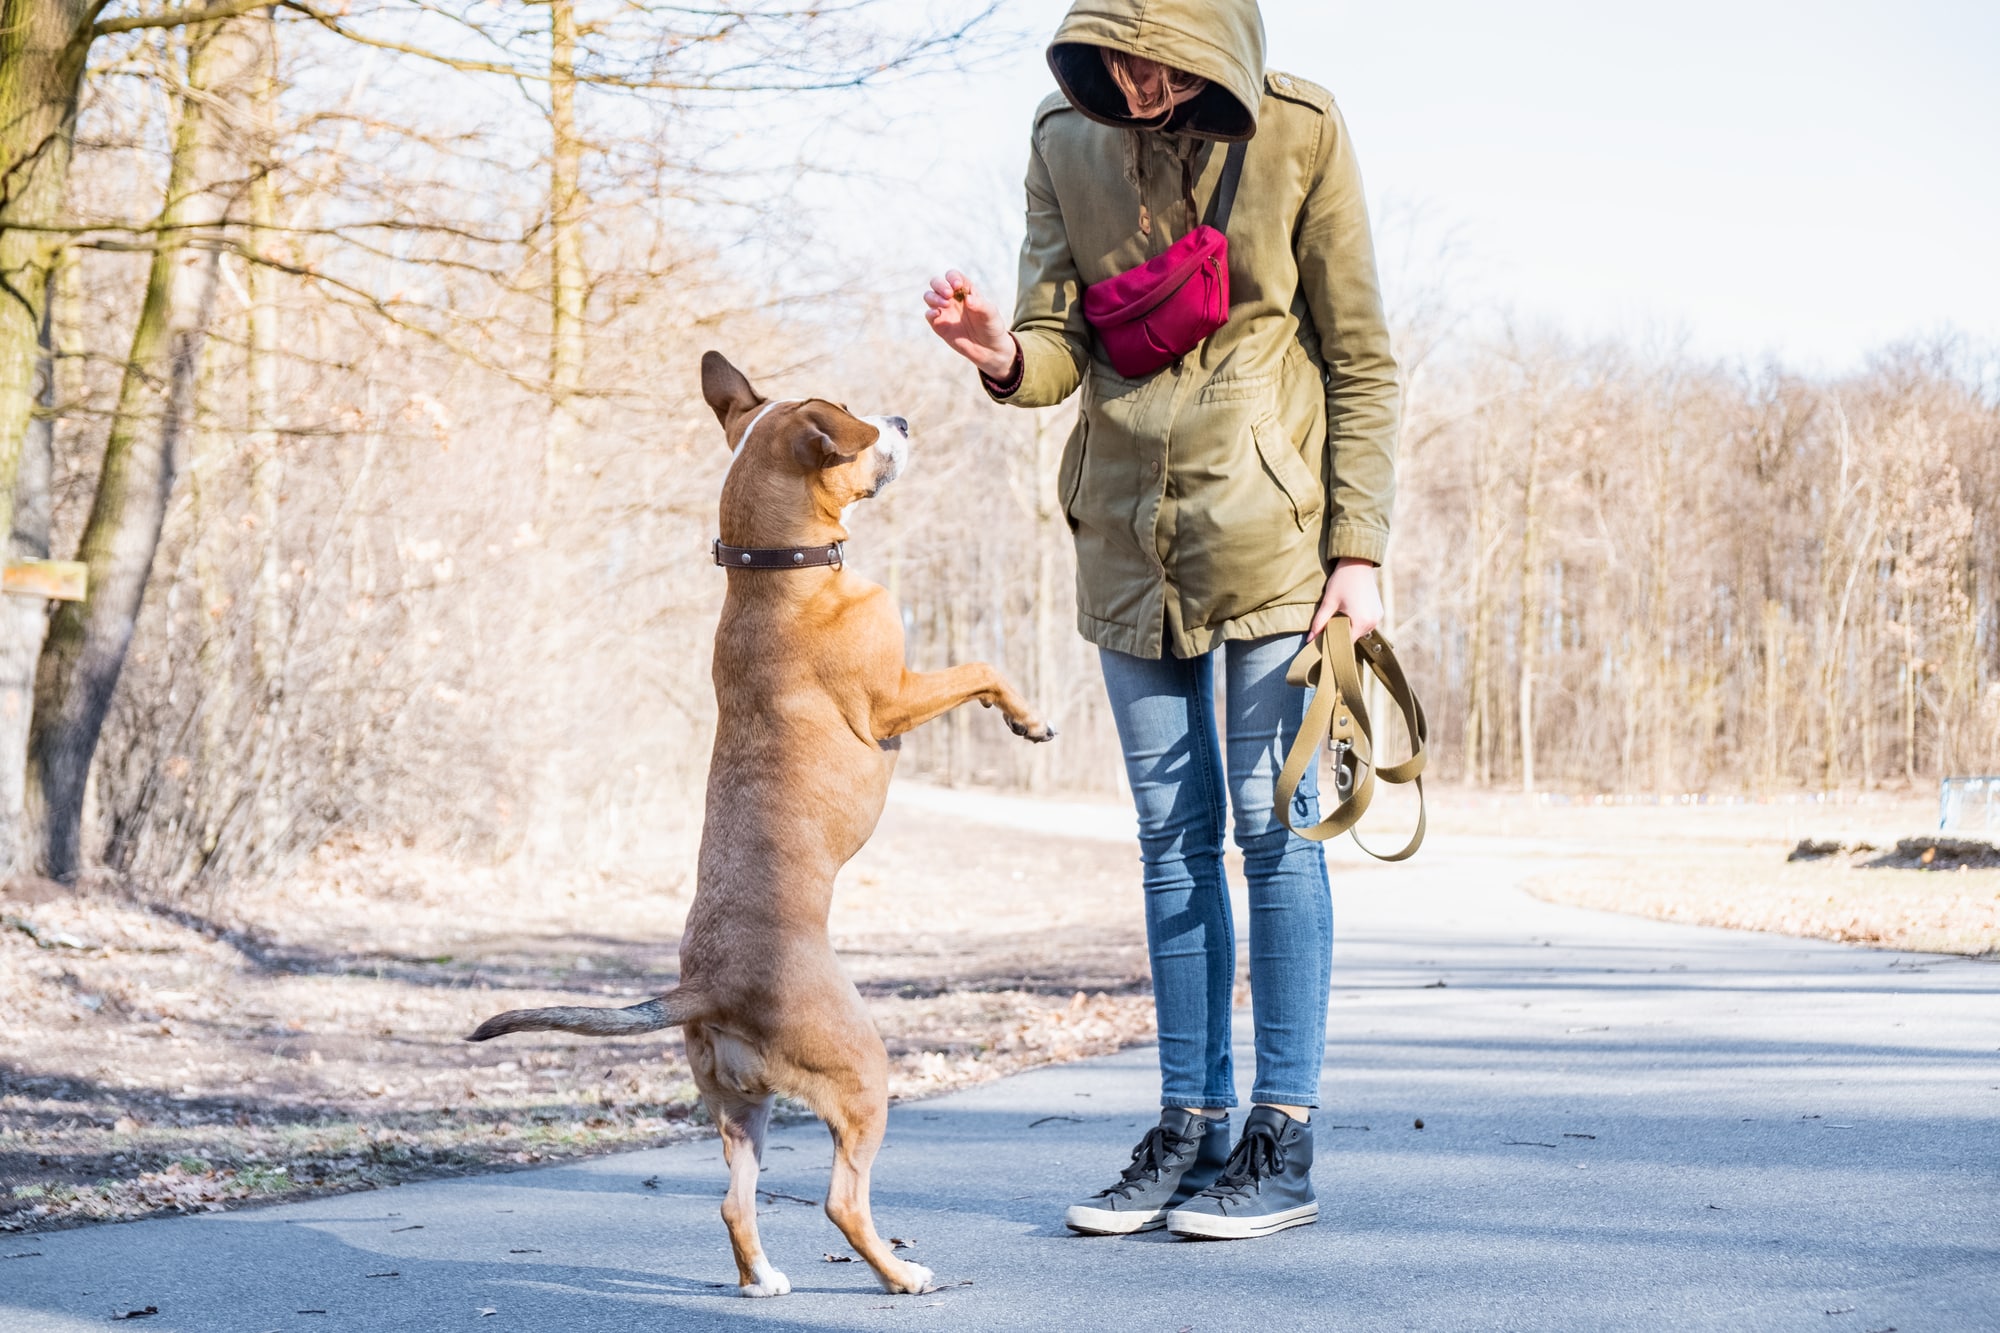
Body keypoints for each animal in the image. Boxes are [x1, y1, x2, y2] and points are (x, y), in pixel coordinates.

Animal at [470, 348, 1056, 1288]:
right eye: (861, 424)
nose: (903, 418)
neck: (777, 568)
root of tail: (709, 984)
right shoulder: (895, 699)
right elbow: (981, 667)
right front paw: (1028, 720)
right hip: (861, 1076)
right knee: (842, 1201)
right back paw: (901, 1275)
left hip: (742, 1107)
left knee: (734, 1200)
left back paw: (763, 1278)